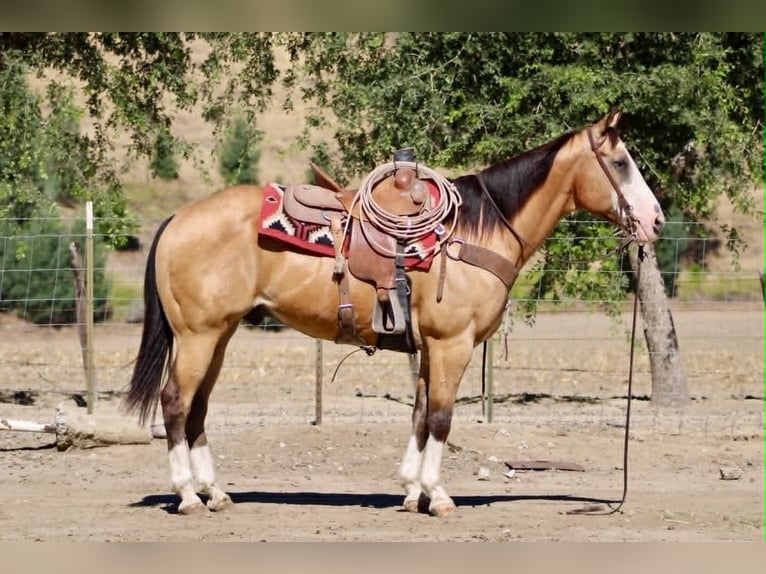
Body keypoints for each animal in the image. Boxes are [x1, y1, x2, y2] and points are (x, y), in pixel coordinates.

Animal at [125, 109, 665, 517]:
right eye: (620, 162)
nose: (656, 220)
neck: (475, 232)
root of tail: (178, 219)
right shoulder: (452, 344)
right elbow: (442, 417)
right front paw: (438, 496)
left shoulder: (429, 348)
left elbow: (421, 415)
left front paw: (411, 490)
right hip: (197, 335)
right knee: (175, 402)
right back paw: (188, 496)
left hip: (219, 335)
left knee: (197, 408)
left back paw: (215, 493)